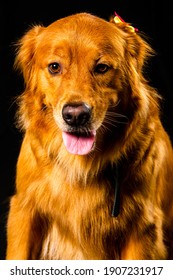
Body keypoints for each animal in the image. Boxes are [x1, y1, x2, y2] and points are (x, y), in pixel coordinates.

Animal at [6, 11, 173, 260]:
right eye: (54, 67)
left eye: (102, 68)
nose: (75, 116)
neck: (82, 166)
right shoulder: (25, 209)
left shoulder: (143, 227)